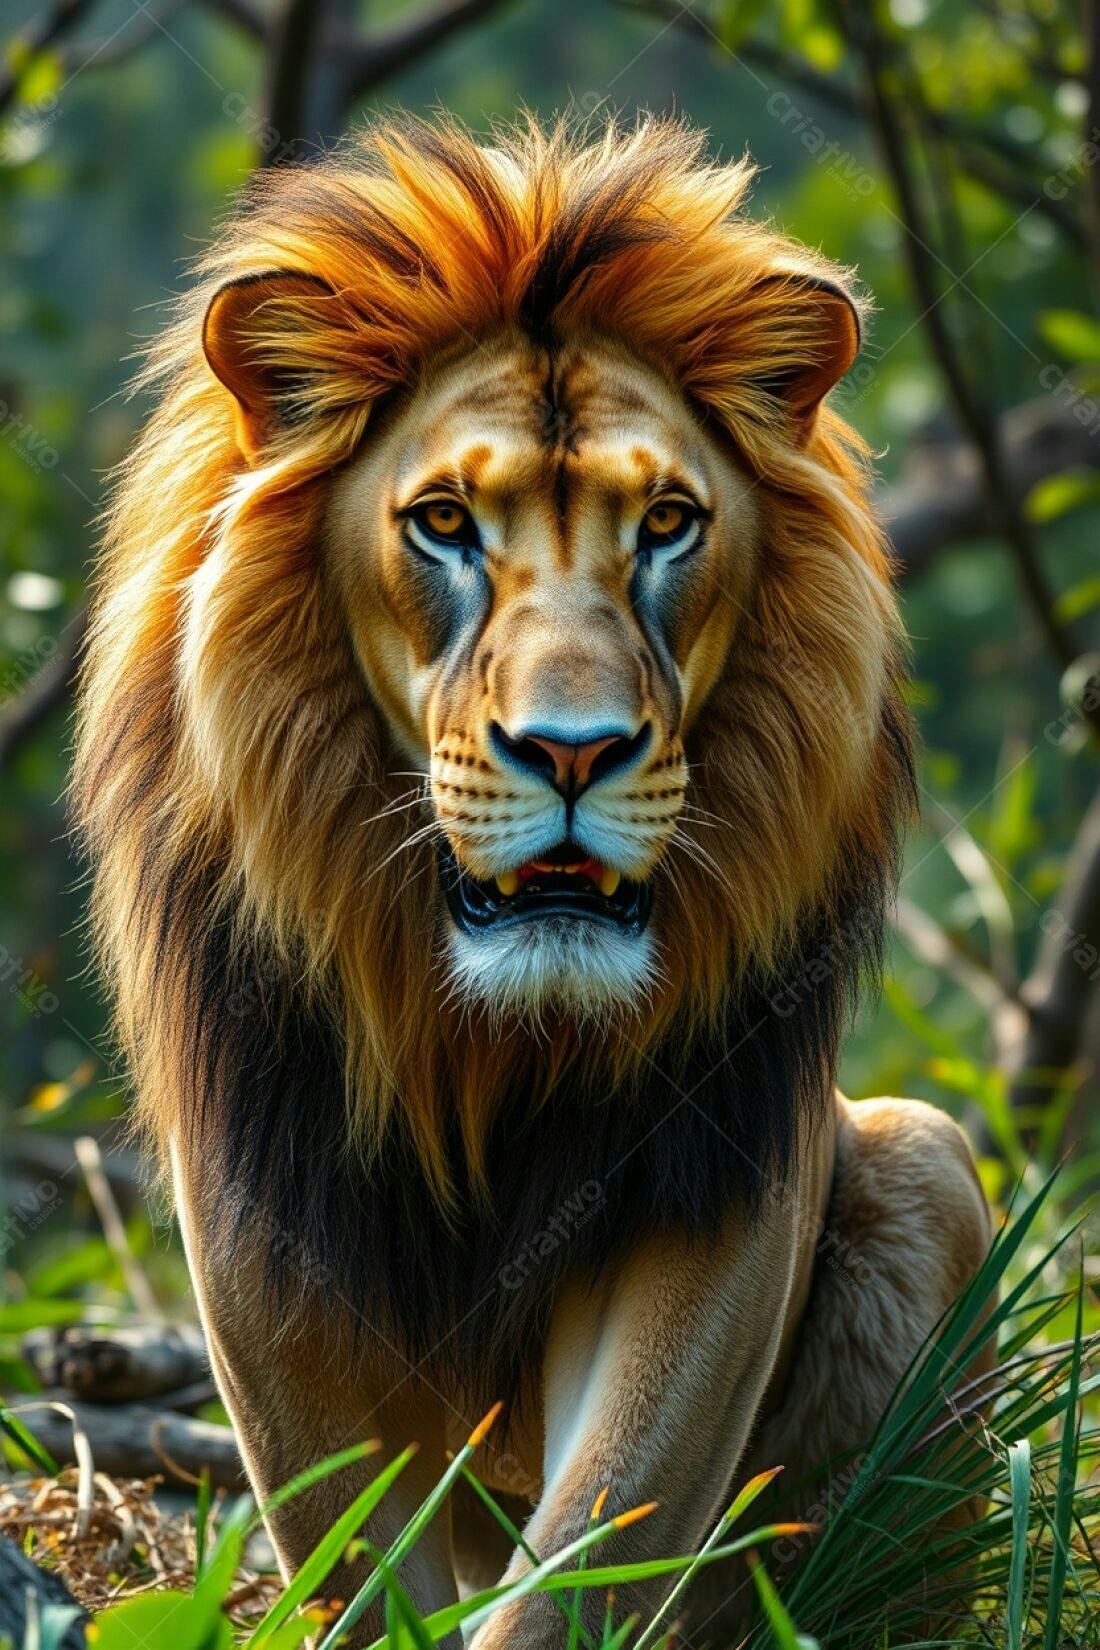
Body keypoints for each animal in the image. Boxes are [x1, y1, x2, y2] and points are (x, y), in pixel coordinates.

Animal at [73, 115, 992, 1645]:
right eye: (444, 522)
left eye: (668, 522)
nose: (574, 749)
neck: (485, 1041)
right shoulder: (263, 1209)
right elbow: (360, 1563)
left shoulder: (715, 1186)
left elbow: (592, 1541)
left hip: (923, 1161)